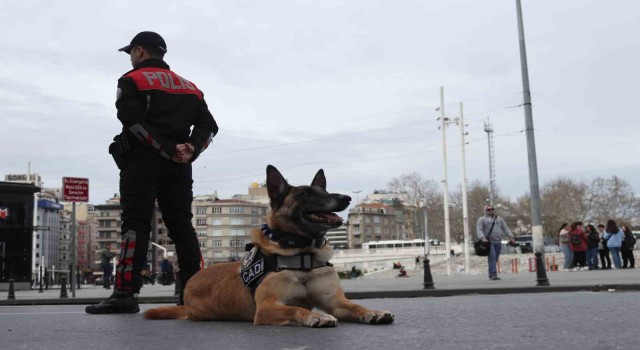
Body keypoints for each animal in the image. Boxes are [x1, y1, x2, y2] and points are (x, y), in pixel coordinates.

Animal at [145, 165, 396, 326]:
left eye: (324, 191)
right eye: (306, 193)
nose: (346, 198)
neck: (302, 251)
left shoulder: (335, 302)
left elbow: (355, 307)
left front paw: (372, 311)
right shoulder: (267, 308)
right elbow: (296, 308)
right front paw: (316, 317)